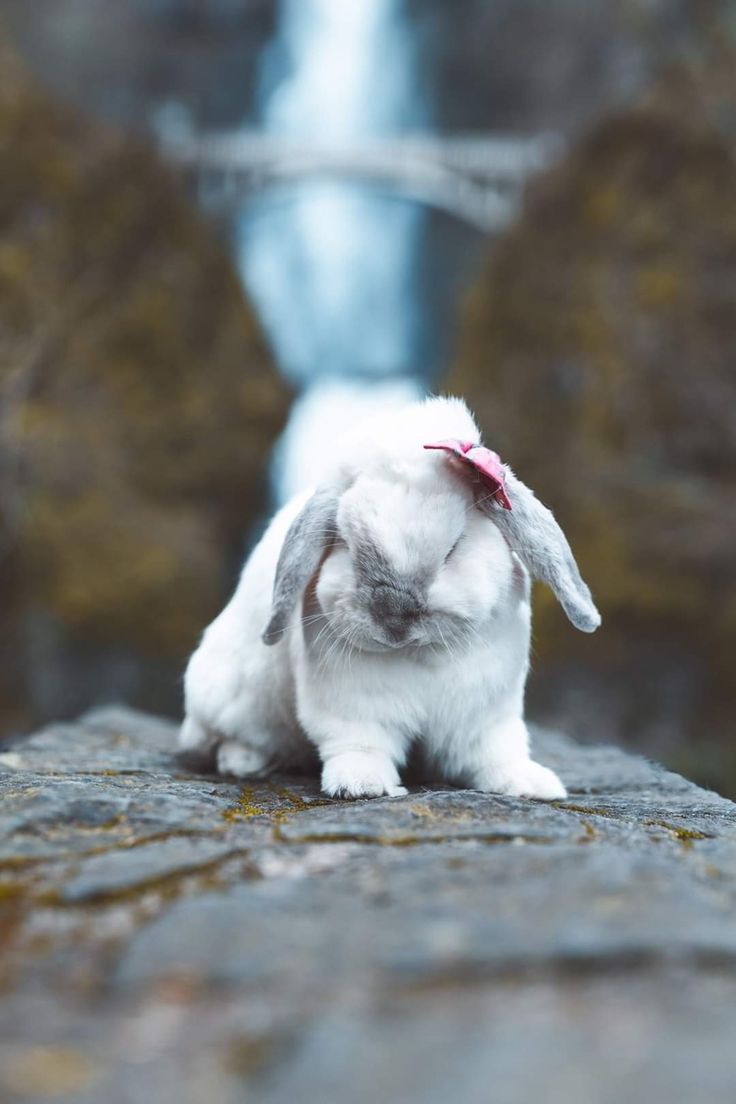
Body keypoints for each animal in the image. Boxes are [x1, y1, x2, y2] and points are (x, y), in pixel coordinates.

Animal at [180, 395, 600, 800]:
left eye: (453, 548)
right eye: (347, 545)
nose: (394, 617)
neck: (418, 653)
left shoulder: (485, 716)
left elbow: (492, 753)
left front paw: (531, 784)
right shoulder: (353, 710)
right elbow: (360, 745)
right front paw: (360, 784)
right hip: (232, 699)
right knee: (221, 737)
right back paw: (243, 761)